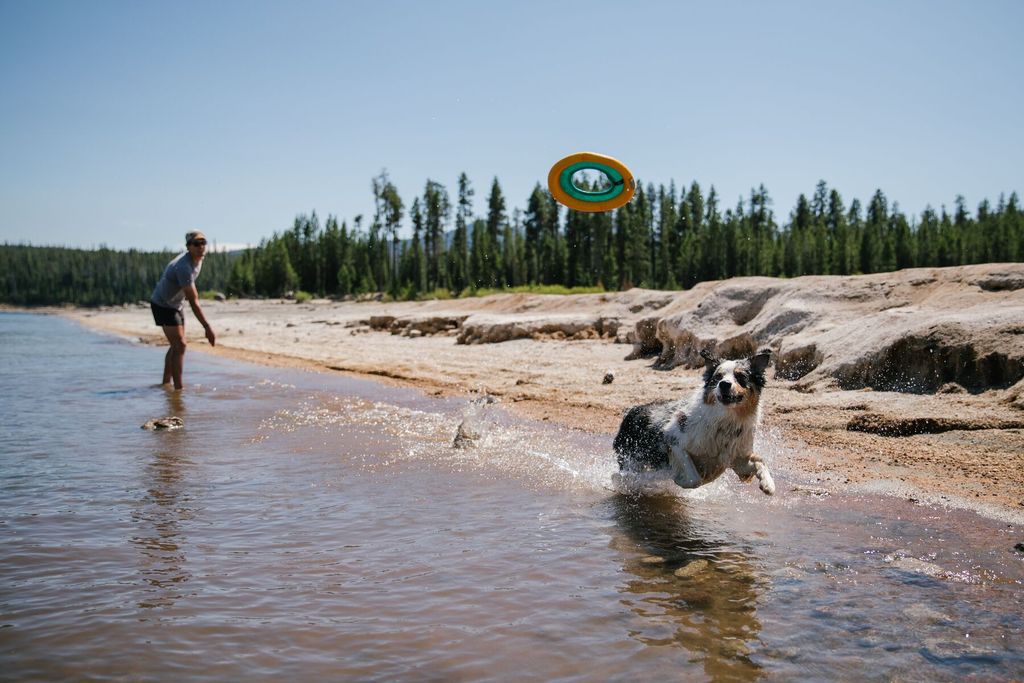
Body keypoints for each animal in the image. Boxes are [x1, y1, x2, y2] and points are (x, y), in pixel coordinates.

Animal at [614, 350, 774, 493]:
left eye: (740, 376)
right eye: (718, 377)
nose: (724, 384)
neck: (726, 420)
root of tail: (632, 409)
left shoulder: (737, 458)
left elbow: (761, 461)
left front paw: (768, 484)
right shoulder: (674, 441)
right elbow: (694, 479)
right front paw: (676, 479)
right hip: (630, 456)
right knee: (625, 474)